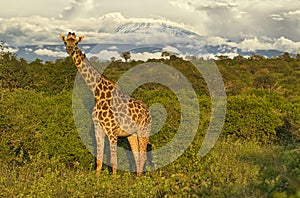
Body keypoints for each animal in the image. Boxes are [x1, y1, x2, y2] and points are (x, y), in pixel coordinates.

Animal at [59, 32, 152, 176]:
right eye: (65, 42)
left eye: (76, 42)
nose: (69, 49)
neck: (98, 95)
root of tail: (148, 112)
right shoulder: (98, 130)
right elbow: (99, 160)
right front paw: (97, 180)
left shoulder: (112, 131)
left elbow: (113, 160)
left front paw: (113, 180)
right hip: (132, 134)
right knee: (137, 156)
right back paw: (136, 178)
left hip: (144, 131)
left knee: (143, 156)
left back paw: (140, 180)